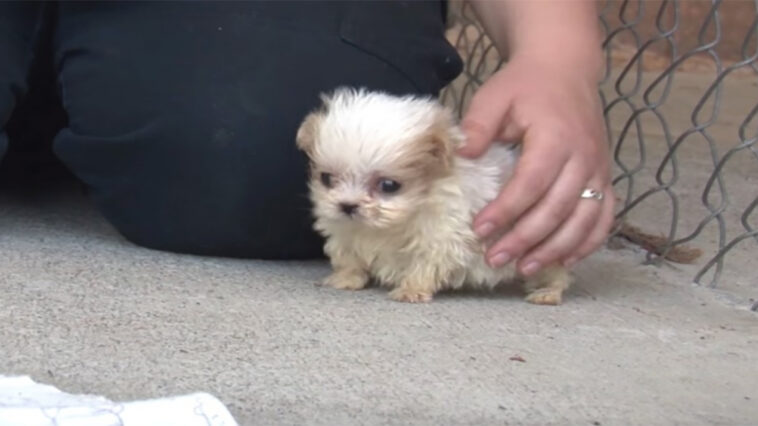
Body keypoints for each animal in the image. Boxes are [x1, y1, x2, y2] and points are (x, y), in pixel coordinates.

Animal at [296, 86, 568, 302]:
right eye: (326, 178)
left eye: (389, 185)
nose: (348, 205)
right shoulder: (345, 231)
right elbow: (349, 256)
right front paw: (346, 278)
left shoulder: (442, 235)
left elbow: (425, 264)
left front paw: (411, 290)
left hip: (540, 250)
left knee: (555, 273)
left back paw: (547, 293)